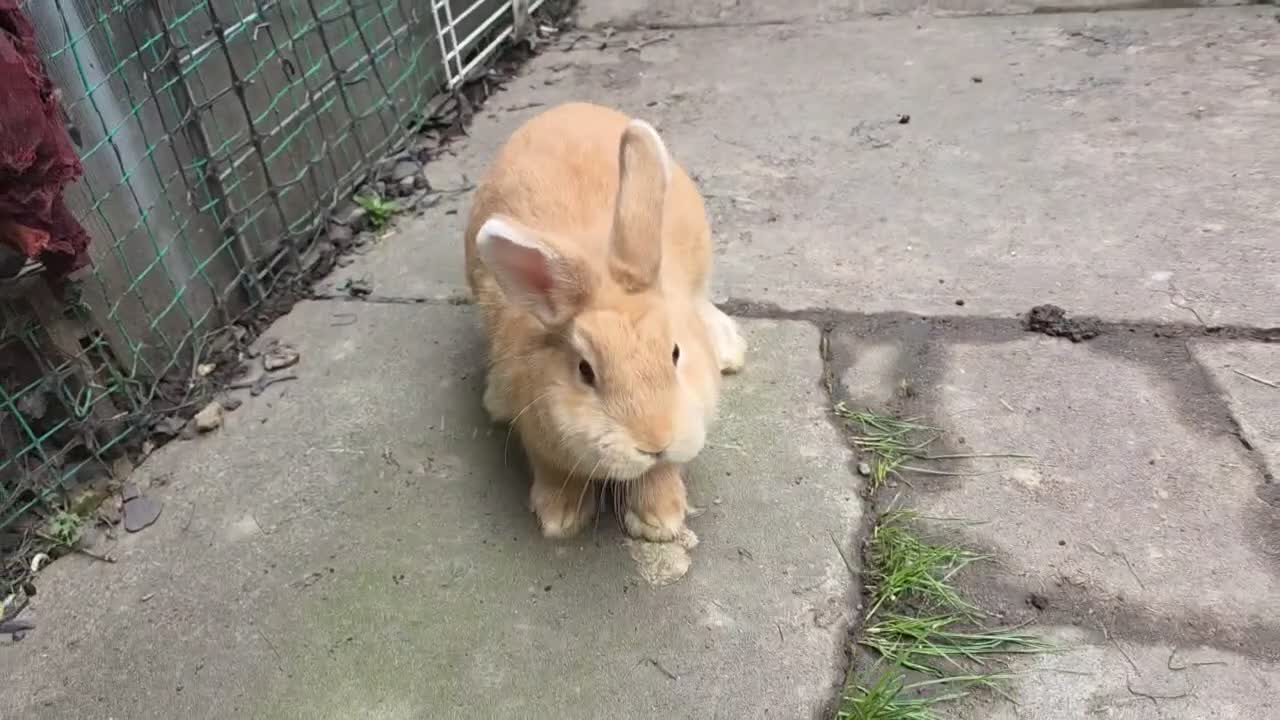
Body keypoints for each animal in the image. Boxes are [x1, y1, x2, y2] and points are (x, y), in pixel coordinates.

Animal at [463, 102, 746, 544]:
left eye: (675, 353)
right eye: (585, 370)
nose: (654, 442)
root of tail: (569, 107)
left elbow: (663, 473)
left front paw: (659, 520)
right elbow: (552, 468)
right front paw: (560, 518)